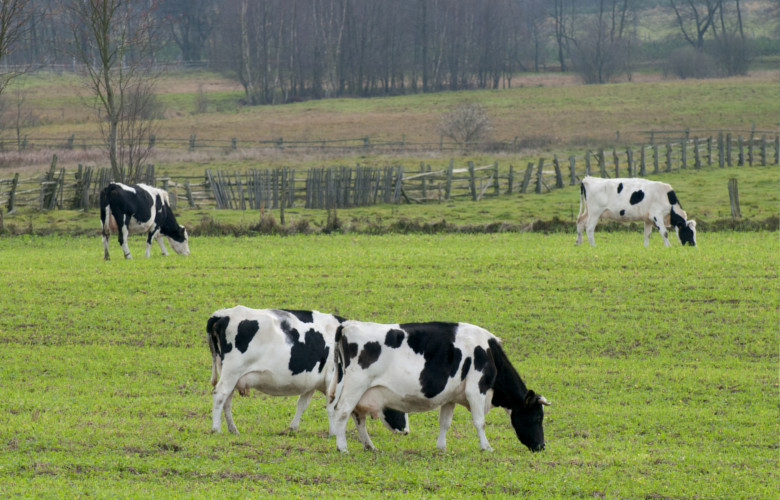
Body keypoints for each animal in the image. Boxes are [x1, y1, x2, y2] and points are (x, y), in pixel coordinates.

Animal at [207, 304, 408, 434]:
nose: (406, 430)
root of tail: (222, 314)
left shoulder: (312, 382)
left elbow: (302, 405)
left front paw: (293, 428)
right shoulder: (334, 378)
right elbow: (332, 406)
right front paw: (334, 433)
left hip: (231, 375)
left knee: (227, 401)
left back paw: (233, 429)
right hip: (232, 372)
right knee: (219, 395)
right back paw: (216, 428)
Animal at [328, 320, 548, 454]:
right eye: (538, 417)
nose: (541, 446)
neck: (489, 352)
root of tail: (349, 324)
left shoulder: (451, 396)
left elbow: (445, 423)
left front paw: (441, 447)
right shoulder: (476, 389)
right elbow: (479, 422)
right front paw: (486, 447)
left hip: (361, 393)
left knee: (358, 417)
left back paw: (370, 446)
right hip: (354, 387)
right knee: (342, 412)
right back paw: (342, 447)